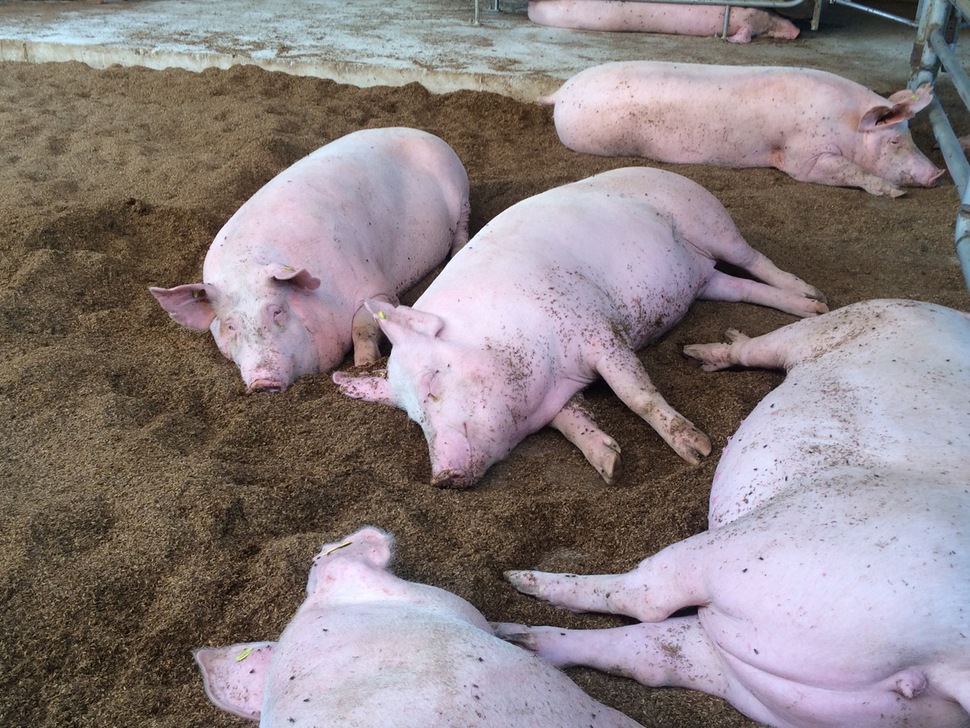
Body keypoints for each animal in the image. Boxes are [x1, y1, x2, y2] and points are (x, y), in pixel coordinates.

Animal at [147, 128, 468, 396]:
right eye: (229, 325)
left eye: (277, 311)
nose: (262, 382)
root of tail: (429, 135)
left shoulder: (377, 286)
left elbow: (363, 325)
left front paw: (363, 363)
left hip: (459, 193)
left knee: (461, 231)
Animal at [496, 298, 968, 728]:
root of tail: (946, 663)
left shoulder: (847, 321)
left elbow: (759, 348)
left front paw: (708, 348)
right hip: (781, 684)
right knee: (651, 654)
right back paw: (514, 635)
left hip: (764, 546)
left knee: (648, 597)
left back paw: (520, 580)